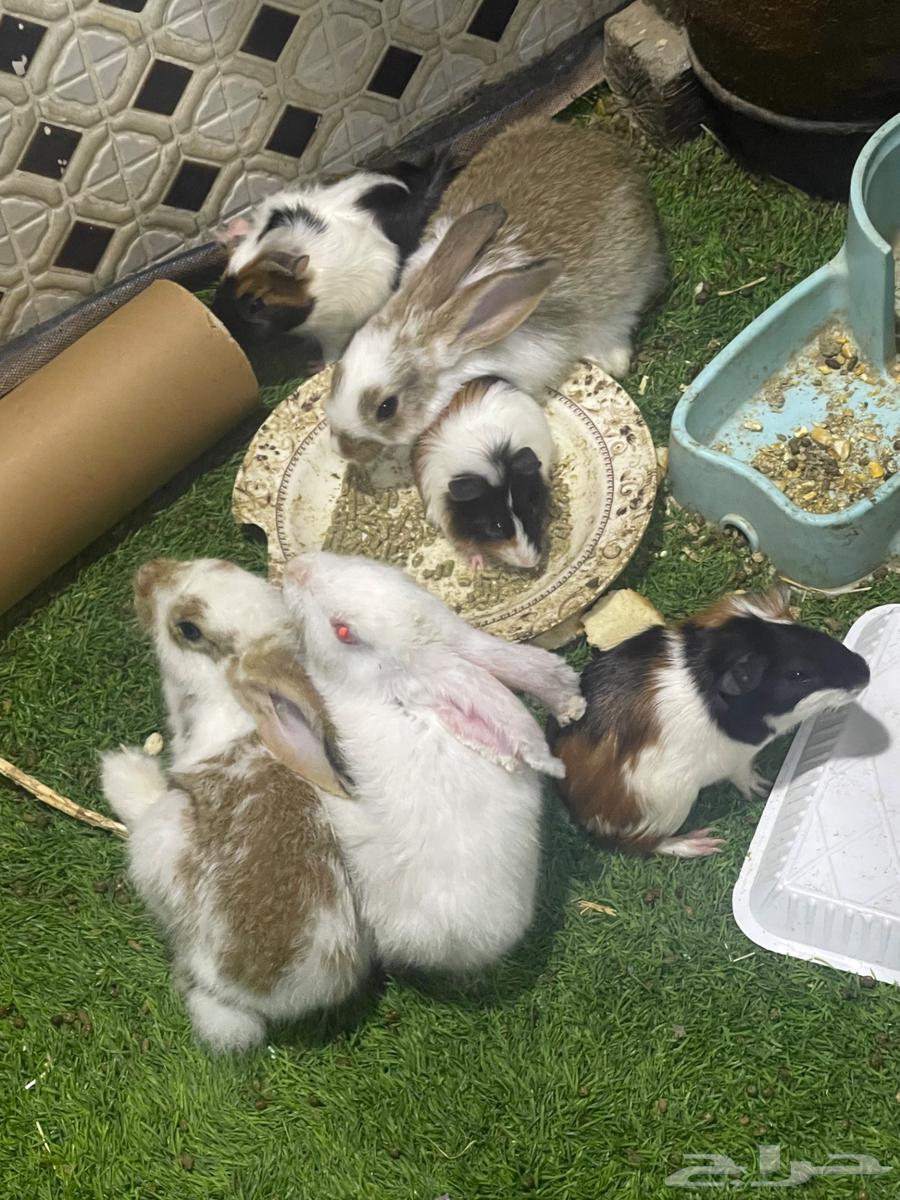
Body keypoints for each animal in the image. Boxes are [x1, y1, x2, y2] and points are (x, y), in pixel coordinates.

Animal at [100, 558, 369, 1051]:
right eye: (221, 563)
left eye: (188, 629)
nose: (145, 574)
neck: (224, 693)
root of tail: (250, 998)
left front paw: (119, 769)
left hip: (161, 836)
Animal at [212, 150, 458, 365]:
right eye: (222, 280)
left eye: (255, 304)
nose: (226, 326)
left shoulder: (334, 329)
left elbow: (332, 353)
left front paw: (315, 366)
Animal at [547, 586, 870, 857]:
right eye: (799, 675)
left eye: (809, 633)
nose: (865, 672)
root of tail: (581, 811)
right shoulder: (737, 759)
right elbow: (743, 775)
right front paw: (761, 788)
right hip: (670, 805)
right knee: (645, 844)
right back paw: (703, 843)